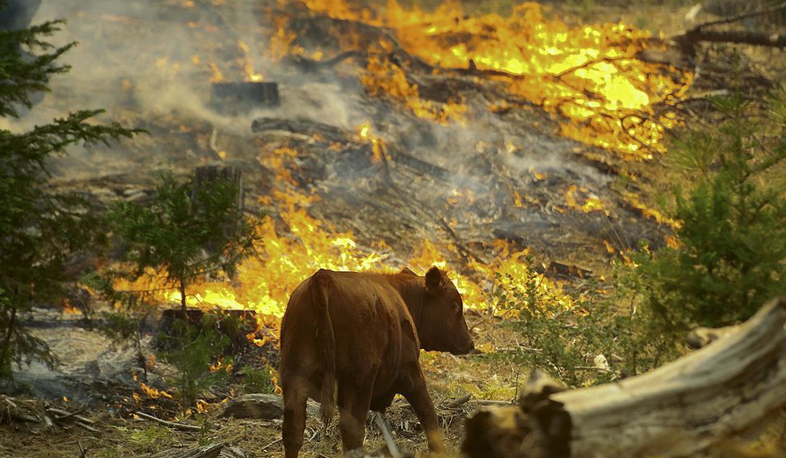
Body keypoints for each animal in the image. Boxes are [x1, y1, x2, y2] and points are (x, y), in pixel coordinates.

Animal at [278, 266, 472, 456]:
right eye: (454, 305)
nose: (470, 342)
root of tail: (323, 277)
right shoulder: (410, 373)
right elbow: (429, 416)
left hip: (294, 376)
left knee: (292, 432)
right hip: (359, 382)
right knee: (352, 433)